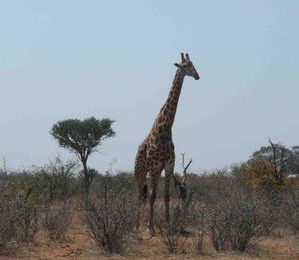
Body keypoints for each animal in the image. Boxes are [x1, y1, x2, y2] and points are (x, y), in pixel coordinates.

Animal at [135, 53, 200, 232]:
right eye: (186, 66)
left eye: (193, 64)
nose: (197, 76)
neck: (164, 130)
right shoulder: (154, 165)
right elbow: (153, 196)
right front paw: (150, 227)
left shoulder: (169, 164)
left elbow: (166, 195)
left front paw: (168, 224)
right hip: (140, 170)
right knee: (140, 194)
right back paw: (136, 225)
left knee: (143, 194)